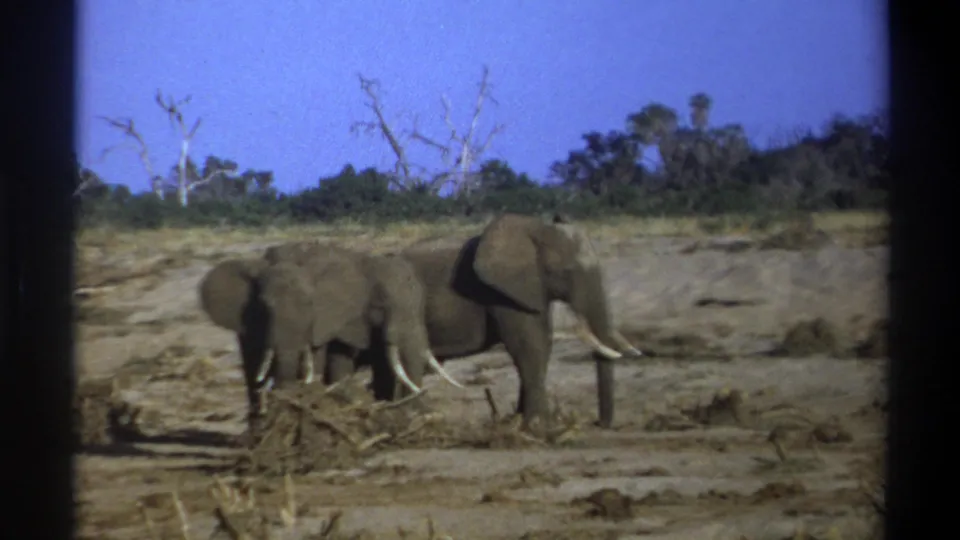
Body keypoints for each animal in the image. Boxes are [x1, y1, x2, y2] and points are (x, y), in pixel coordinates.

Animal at [326, 213, 642, 430]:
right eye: (567, 272)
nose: (601, 424)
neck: (532, 228)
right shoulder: (500, 293)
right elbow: (530, 347)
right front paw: (538, 427)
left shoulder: (528, 291)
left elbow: (541, 342)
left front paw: (520, 423)